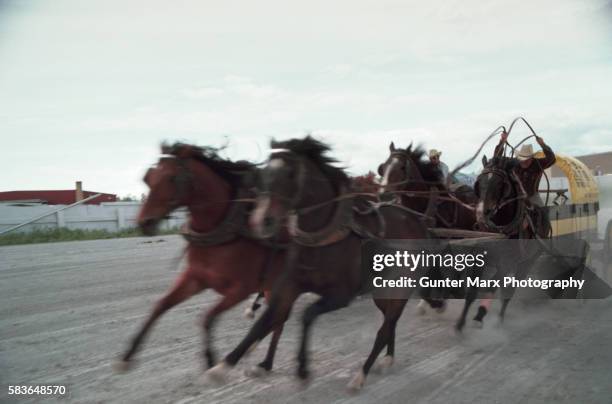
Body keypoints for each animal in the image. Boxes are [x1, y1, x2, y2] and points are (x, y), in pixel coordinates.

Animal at [116, 143, 288, 376]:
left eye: (172, 178)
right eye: (148, 177)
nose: (144, 222)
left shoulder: (241, 289)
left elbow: (207, 318)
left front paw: (210, 360)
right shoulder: (195, 278)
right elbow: (160, 306)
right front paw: (127, 355)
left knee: (279, 319)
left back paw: (263, 359)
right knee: (278, 318)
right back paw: (263, 359)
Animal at [206, 136, 430, 392]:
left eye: (290, 174)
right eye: (265, 174)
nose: (262, 221)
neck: (322, 237)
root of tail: (416, 220)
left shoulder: (341, 295)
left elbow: (307, 315)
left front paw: (303, 368)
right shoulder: (289, 286)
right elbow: (266, 321)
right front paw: (223, 366)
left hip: (400, 286)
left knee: (387, 325)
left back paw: (361, 374)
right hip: (381, 291)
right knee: (389, 321)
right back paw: (387, 358)